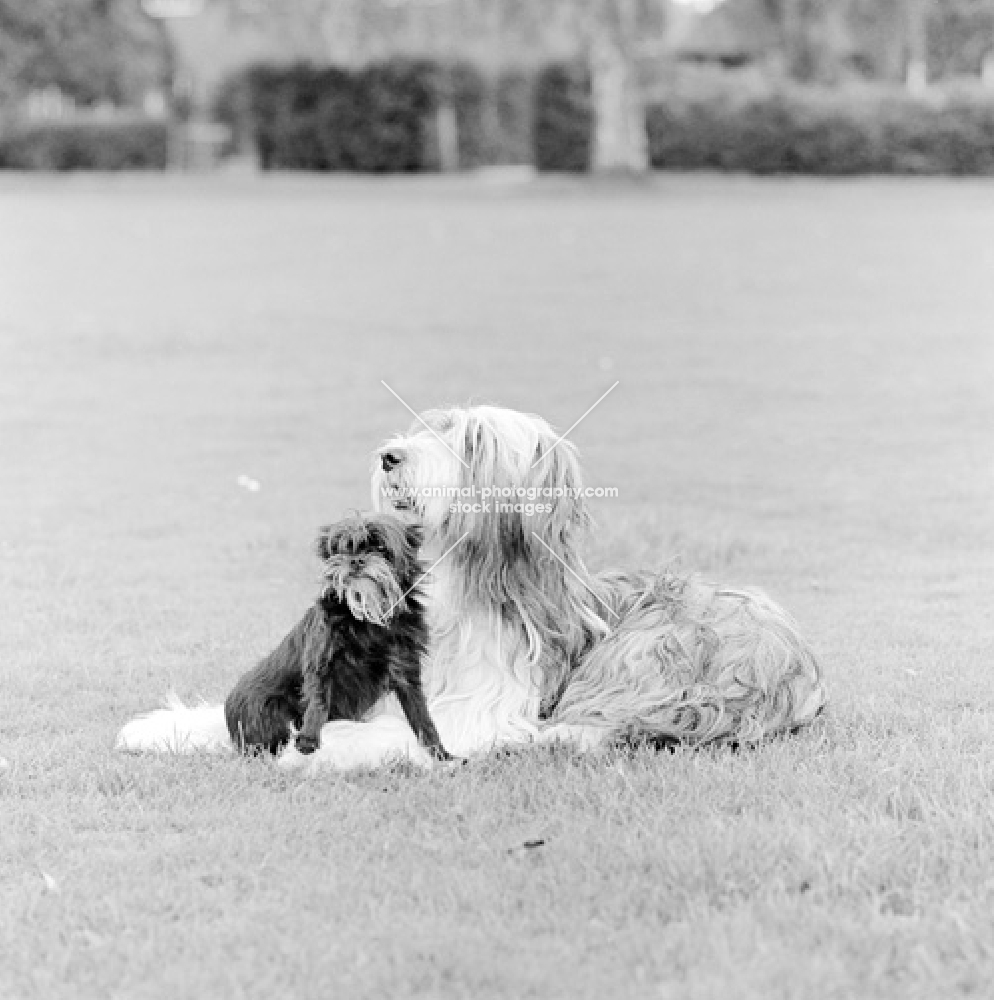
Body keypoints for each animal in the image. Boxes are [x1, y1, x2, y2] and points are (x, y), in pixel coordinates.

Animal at [225, 512, 450, 760]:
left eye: (381, 548)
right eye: (343, 548)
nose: (356, 560)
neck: (367, 613)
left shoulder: (406, 670)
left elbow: (421, 716)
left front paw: (441, 754)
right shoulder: (322, 662)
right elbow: (318, 700)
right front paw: (308, 739)